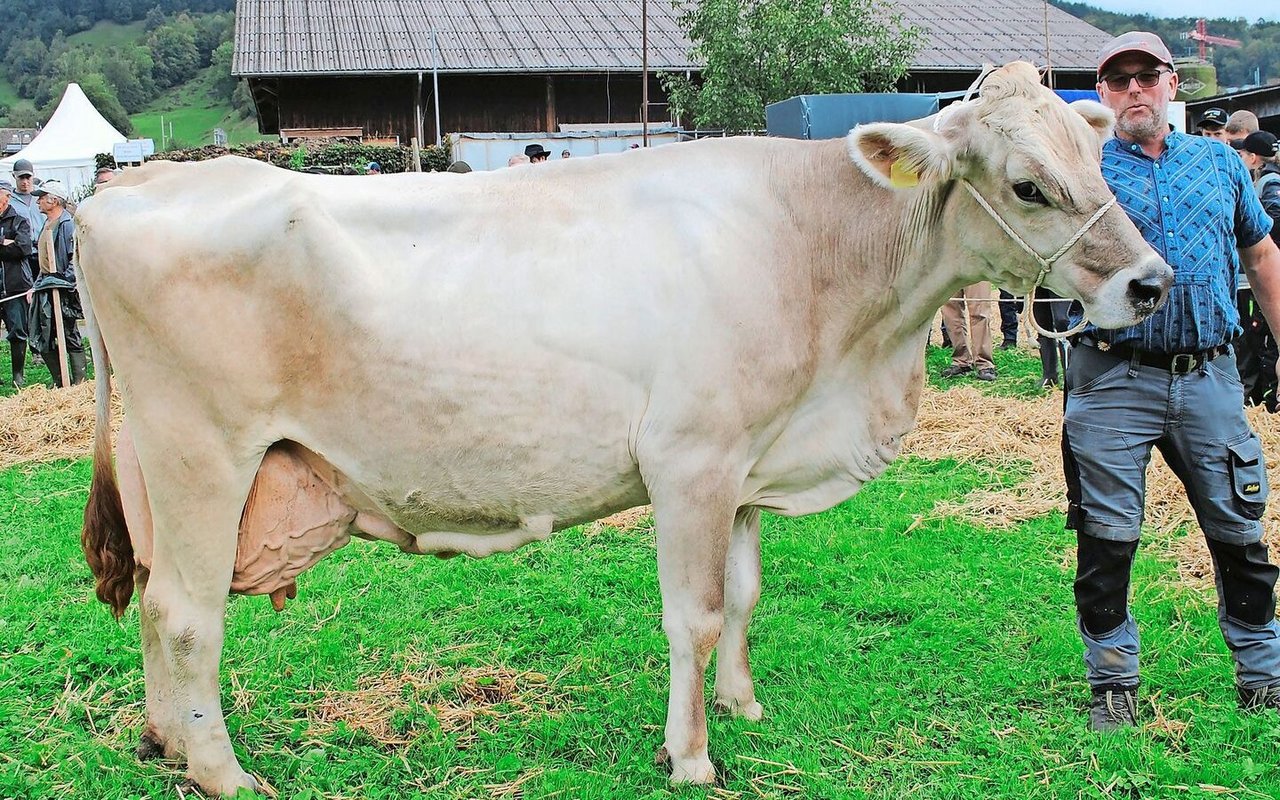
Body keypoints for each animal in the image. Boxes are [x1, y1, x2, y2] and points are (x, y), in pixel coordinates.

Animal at [77, 62, 1172, 793]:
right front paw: (690, 755)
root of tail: (131, 185)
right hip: (203, 450)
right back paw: (223, 773)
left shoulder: (745, 462)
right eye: (1028, 184)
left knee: (151, 603)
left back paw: (163, 740)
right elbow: (692, 613)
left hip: (160, 460)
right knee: (187, 612)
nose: (1150, 282)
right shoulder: (690, 459)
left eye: (1099, 155)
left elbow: (743, 593)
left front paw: (740, 702)